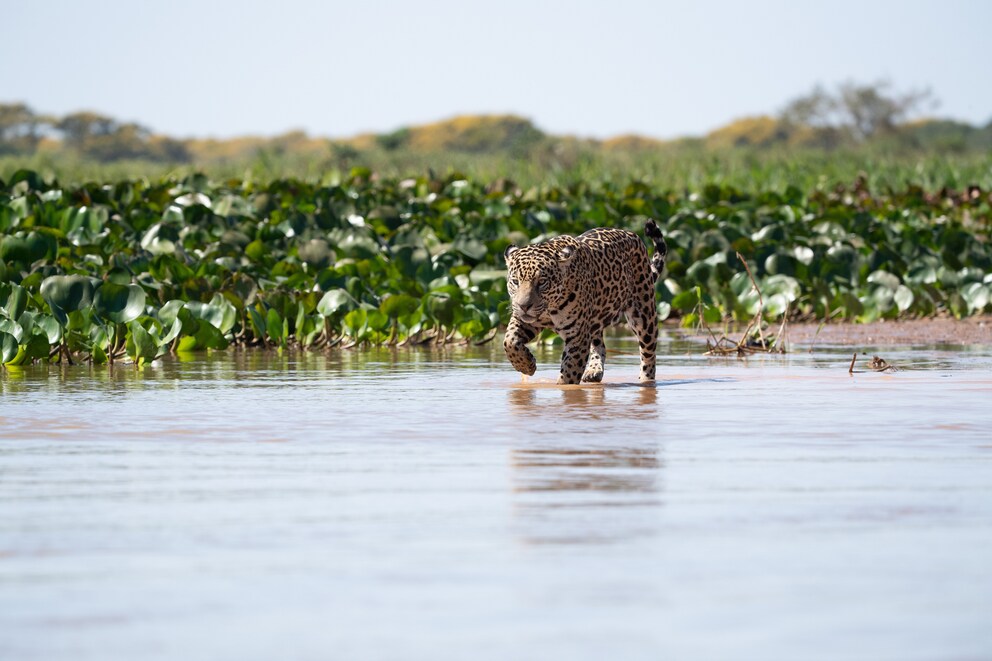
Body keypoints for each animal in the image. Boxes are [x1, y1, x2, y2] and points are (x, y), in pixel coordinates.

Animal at [503, 219, 668, 385]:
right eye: (515, 281)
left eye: (542, 282)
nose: (524, 306)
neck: (550, 308)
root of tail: (632, 234)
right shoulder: (525, 321)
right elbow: (509, 341)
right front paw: (526, 366)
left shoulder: (577, 337)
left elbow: (569, 373)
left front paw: (563, 387)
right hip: (595, 320)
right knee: (600, 344)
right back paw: (594, 370)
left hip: (644, 314)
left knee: (648, 353)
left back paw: (646, 381)